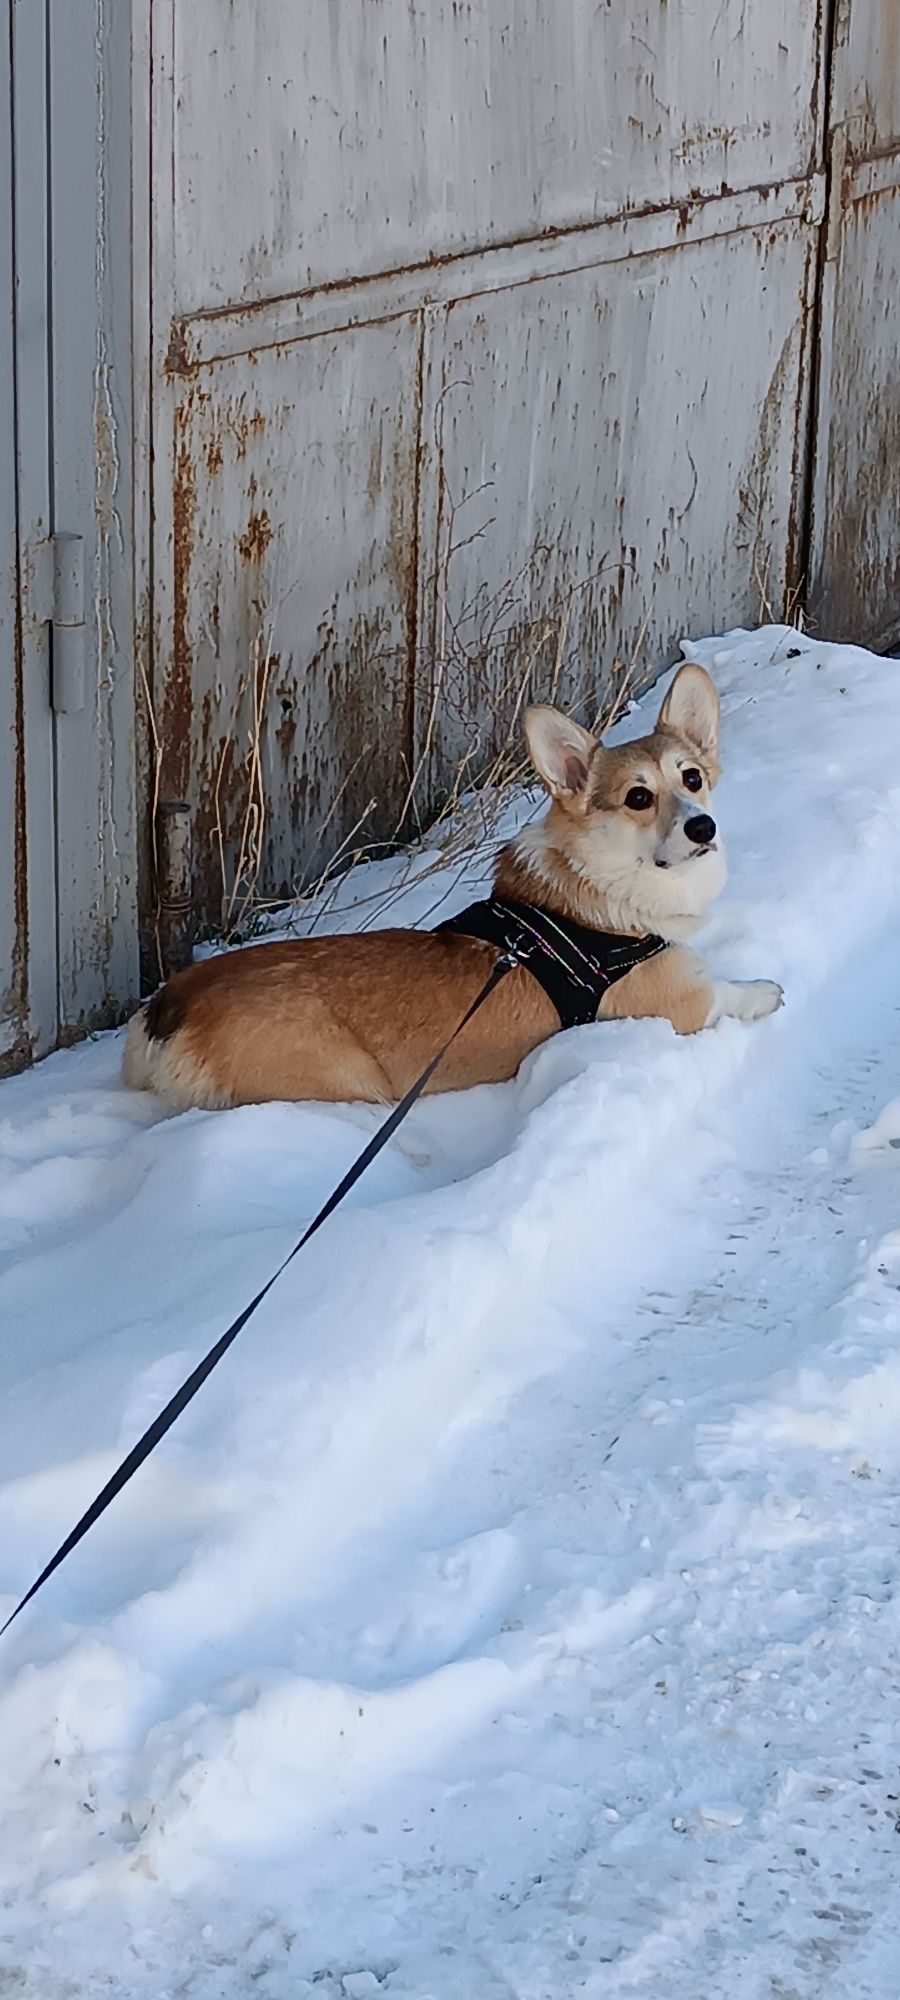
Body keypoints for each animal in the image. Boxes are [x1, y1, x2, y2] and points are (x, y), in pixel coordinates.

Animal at [125, 668, 780, 1112]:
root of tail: (166, 1009)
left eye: (691, 778)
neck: (606, 884)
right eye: (638, 797)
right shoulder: (680, 1004)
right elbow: (728, 991)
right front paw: (767, 991)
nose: (704, 827)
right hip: (350, 1083)